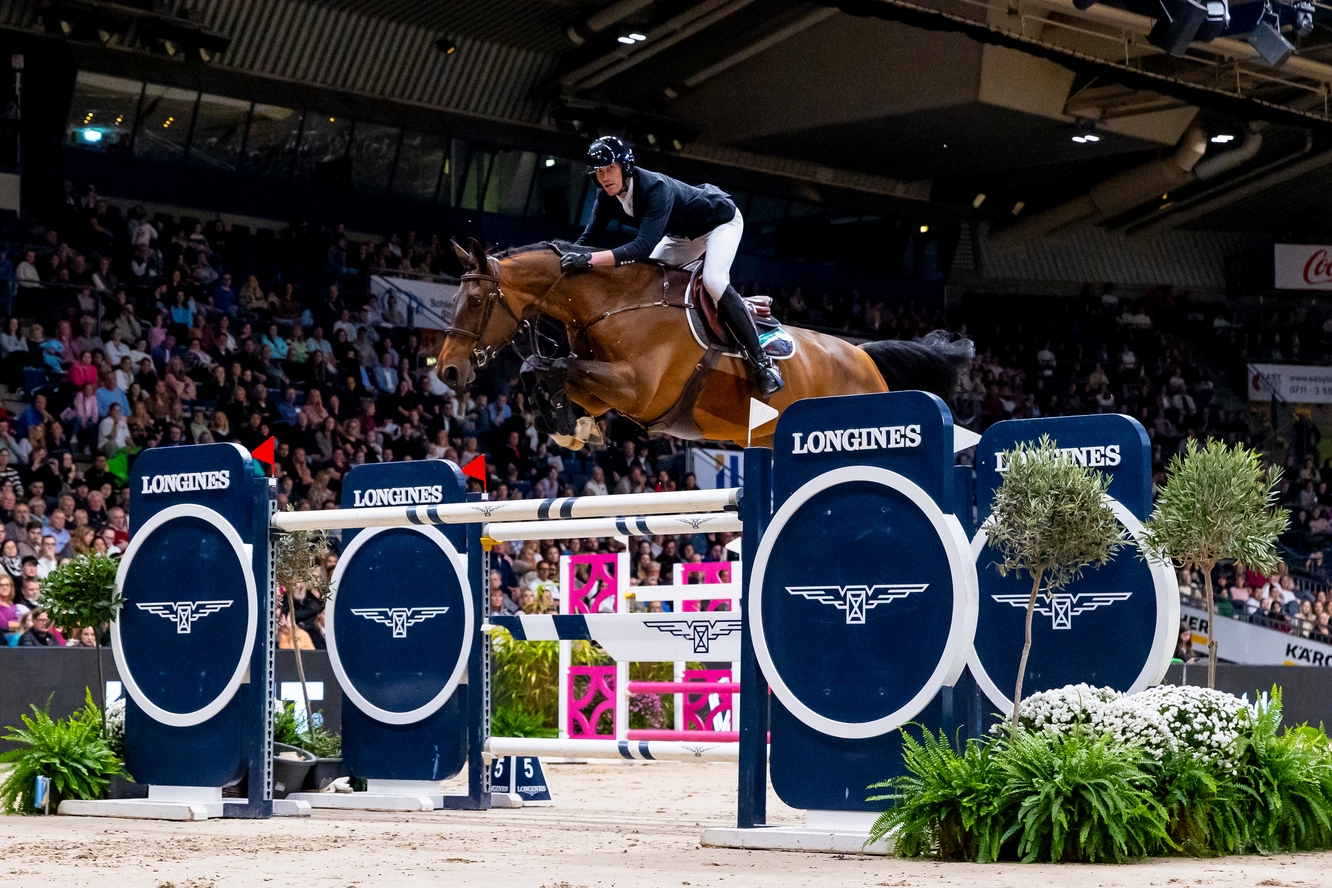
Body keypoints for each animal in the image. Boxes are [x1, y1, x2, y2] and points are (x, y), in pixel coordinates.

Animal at [436, 239, 969, 447]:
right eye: (456, 297)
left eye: (476, 301)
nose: (447, 371)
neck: (611, 302)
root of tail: (864, 355)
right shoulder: (605, 388)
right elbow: (545, 372)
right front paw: (573, 428)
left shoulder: (636, 388)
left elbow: (546, 366)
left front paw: (569, 428)